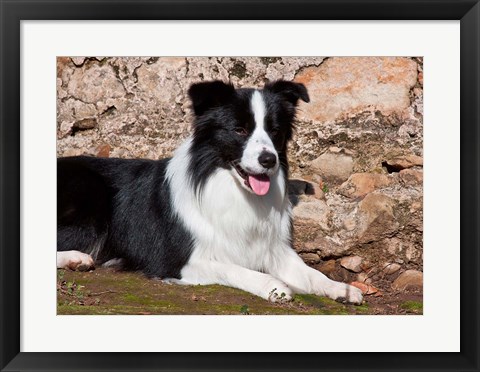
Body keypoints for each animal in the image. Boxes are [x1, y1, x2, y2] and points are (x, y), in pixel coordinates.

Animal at [57, 80, 364, 304]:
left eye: (275, 131)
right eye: (239, 130)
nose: (269, 160)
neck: (231, 188)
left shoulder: (274, 249)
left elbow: (310, 273)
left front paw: (341, 288)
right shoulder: (179, 260)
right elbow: (232, 268)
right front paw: (273, 285)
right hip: (90, 197)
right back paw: (76, 258)